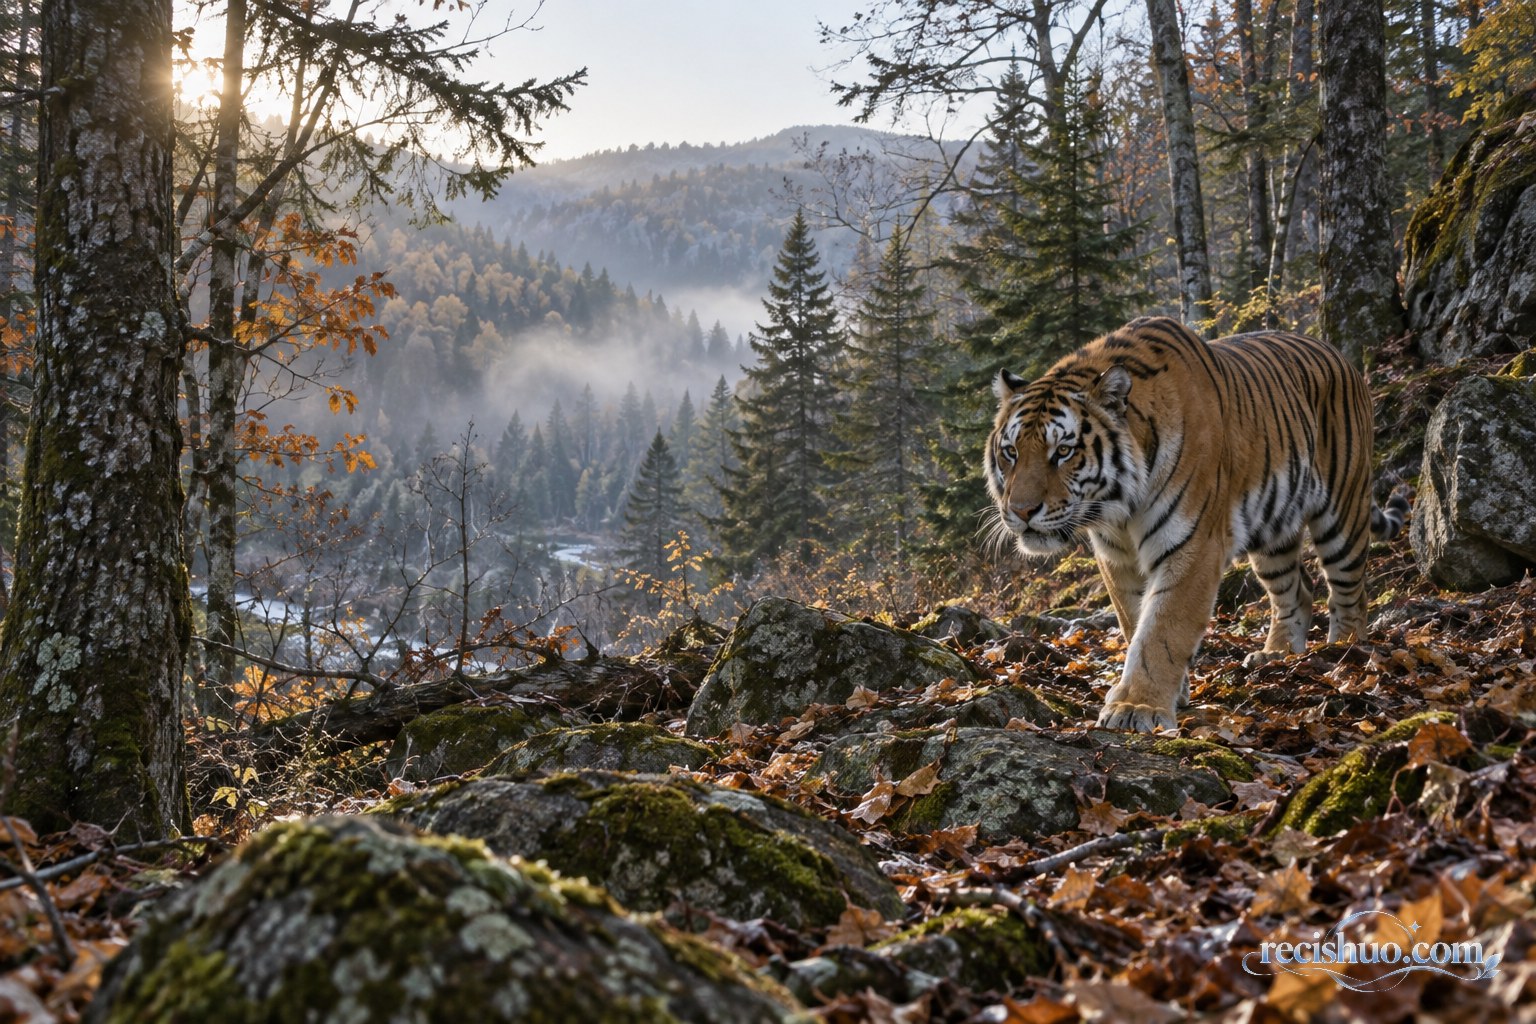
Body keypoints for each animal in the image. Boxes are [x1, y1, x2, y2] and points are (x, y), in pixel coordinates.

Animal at [984, 316, 1409, 734]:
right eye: (1011, 452)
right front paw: (1170, 692)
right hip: (1273, 535)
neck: (1119, 506)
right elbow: (1134, 621)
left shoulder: (1193, 544)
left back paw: (1343, 653)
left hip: (1343, 511)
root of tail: (1341, 356)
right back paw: (1276, 655)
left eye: (1063, 451)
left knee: (1350, 591)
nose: (1022, 511)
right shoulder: (1115, 555)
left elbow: (1162, 629)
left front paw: (1137, 706)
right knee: (1296, 592)